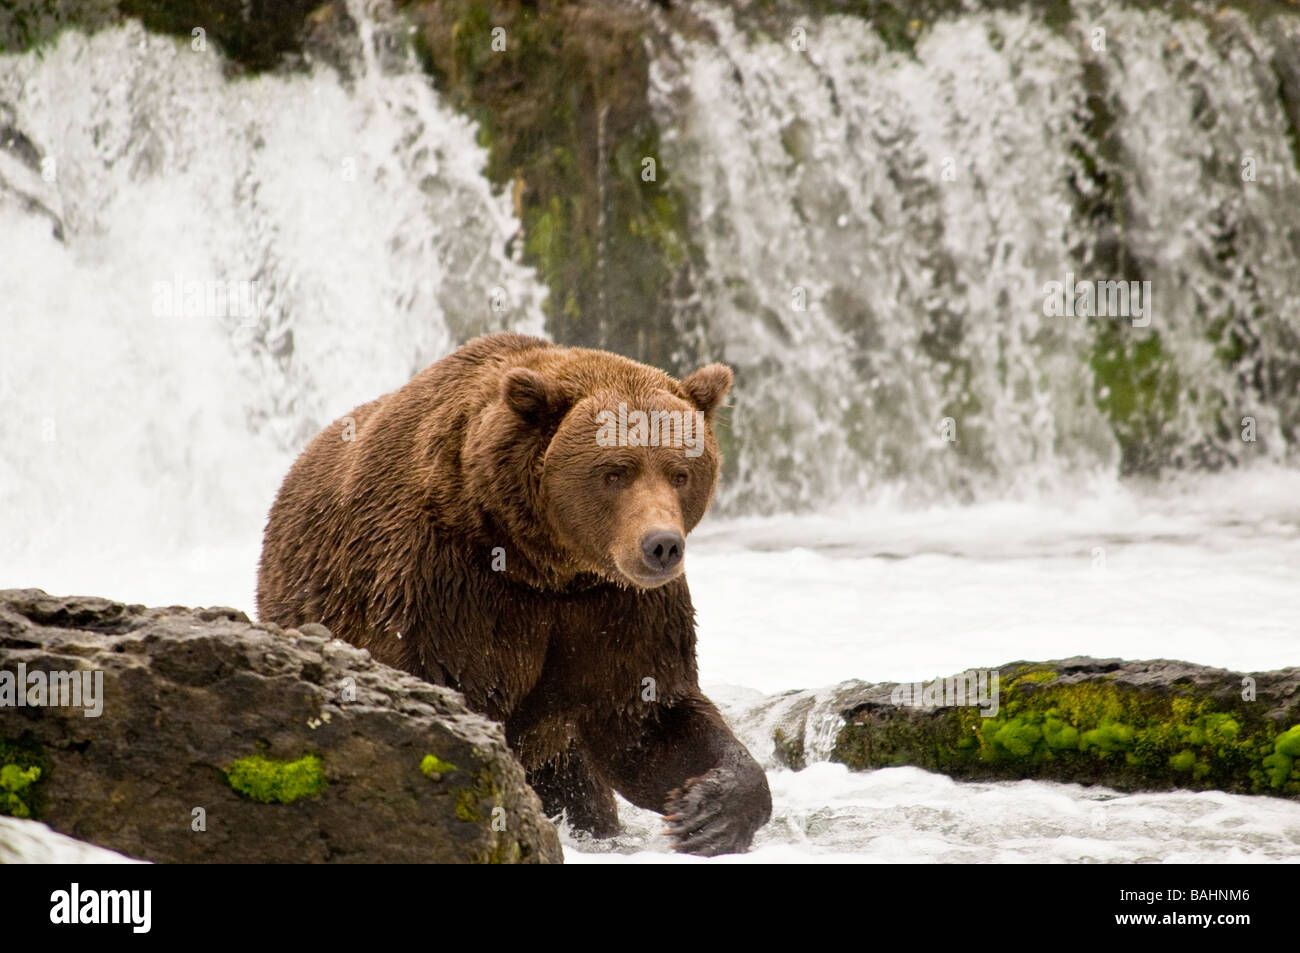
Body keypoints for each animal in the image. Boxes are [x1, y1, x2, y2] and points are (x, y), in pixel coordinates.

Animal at [260, 330, 774, 852]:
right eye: (615, 472)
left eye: (680, 472)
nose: (662, 545)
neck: (545, 564)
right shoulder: (445, 582)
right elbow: (446, 685)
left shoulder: (619, 605)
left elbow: (647, 716)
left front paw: (707, 811)